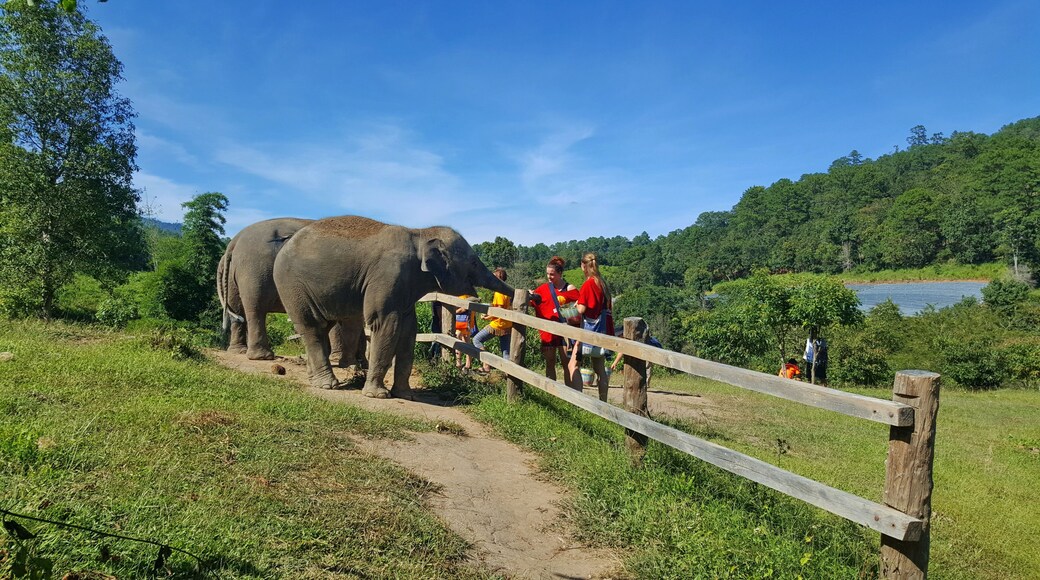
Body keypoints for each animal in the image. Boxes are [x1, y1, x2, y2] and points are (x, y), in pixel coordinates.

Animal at [217, 217, 366, 366]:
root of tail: (235, 241)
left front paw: (359, 363)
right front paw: (341, 360)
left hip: (233, 274)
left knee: (237, 309)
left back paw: (238, 351)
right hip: (254, 269)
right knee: (256, 308)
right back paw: (262, 356)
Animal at [273, 215, 514, 398]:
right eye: (473, 262)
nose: (525, 295)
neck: (419, 234)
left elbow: (409, 329)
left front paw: (405, 394)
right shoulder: (388, 275)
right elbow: (386, 323)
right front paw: (377, 395)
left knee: (321, 327)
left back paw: (315, 380)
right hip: (292, 286)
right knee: (311, 327)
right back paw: (327, 385)